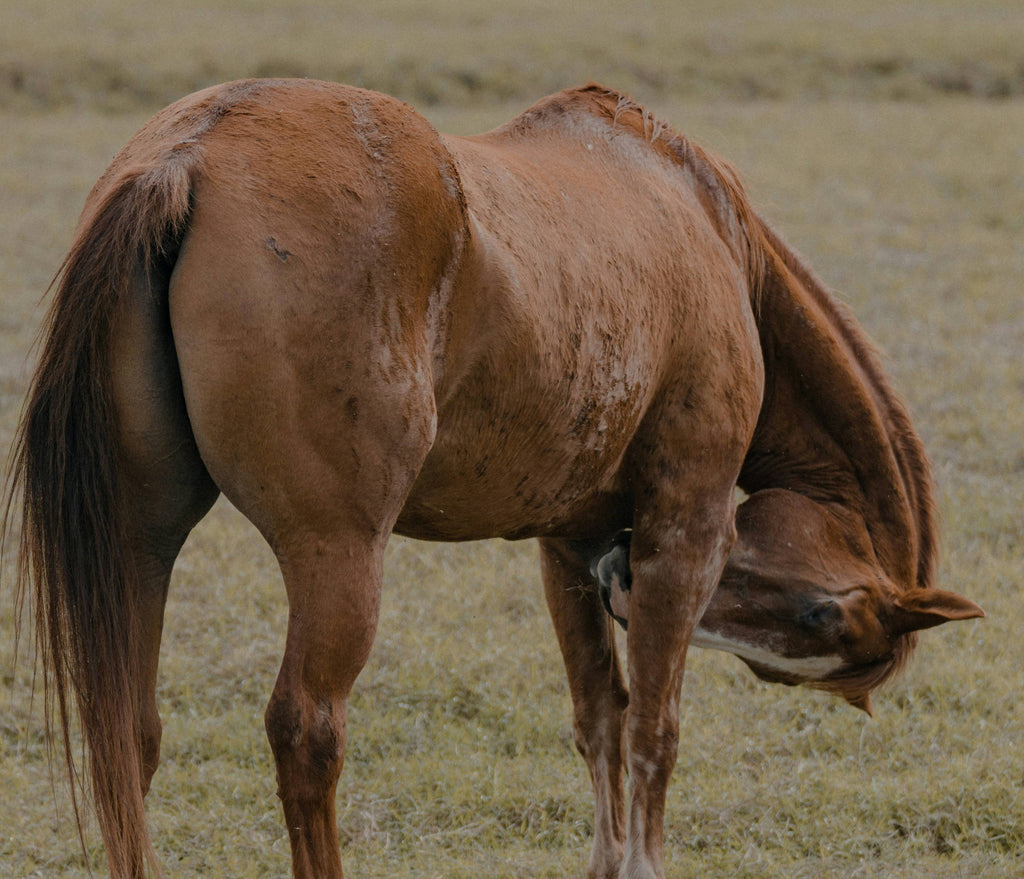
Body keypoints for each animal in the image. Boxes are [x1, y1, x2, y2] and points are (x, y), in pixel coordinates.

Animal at [2, 80, 983, 879]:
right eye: (824, 616)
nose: (622, 581)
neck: (706, 223)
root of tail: (190, 155)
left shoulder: (569, 546)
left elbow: (600, 714)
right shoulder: (686, 530)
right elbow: (654, 728)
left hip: (139, 539)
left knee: (129, 732)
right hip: (337, 553)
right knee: (306, 730)